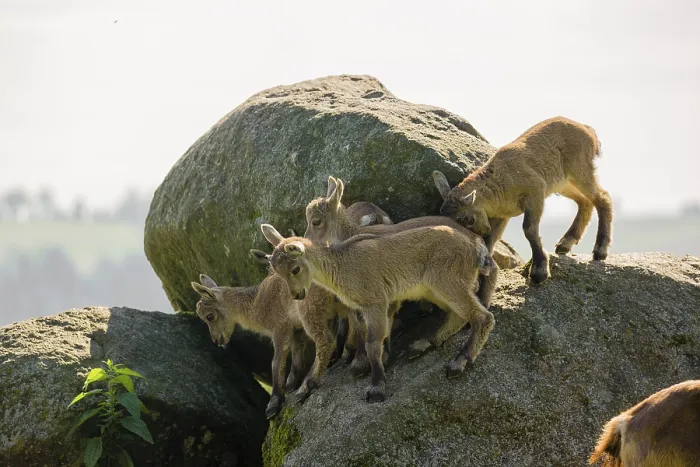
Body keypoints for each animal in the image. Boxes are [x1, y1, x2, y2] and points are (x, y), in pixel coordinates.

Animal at [260, 222, 497, 403]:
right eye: (278, 273)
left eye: (295, 269)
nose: (297, 295)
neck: (341, 266)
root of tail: (475, 249)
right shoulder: (365, 308)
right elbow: (377, 338)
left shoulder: (375, 302)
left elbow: (373, 343)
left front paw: (376, 388)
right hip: (433, 289)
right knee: (458, 316)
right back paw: (422, 344)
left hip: (447, 281)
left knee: (483, 317)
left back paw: (459, 362)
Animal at [433, 116, 613, 284]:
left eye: (469, 220)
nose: (483, 231)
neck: (500, 181)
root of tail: (588, 131)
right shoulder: (502, 215)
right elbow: (491, 241)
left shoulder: (536, 190)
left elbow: (529, 228)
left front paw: (539, 271)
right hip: (563, 184)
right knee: (585, 202)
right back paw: (565, 243)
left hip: (579, 170)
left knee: (602, 198)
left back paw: (599, 250)